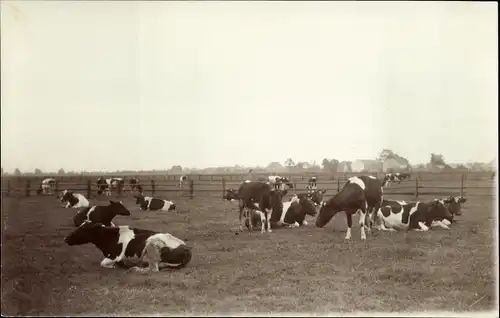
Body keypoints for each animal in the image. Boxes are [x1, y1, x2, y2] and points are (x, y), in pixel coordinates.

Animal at [63, 222, 192, 272]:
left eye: (82, 229)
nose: (66, 239)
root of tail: (187, 249)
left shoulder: (116, 256)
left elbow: (103, 263)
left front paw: (112, 266)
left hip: (151, 242)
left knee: (153, 269)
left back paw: (135, 269)